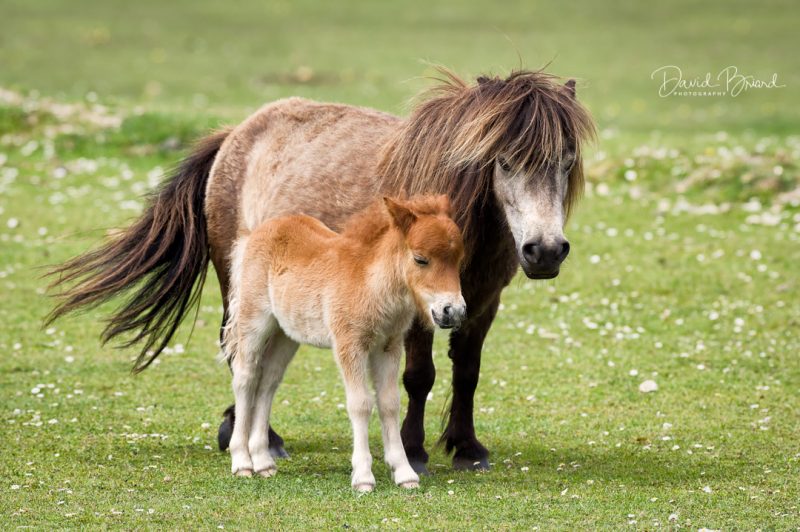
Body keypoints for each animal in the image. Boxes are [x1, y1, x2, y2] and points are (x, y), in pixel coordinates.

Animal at [48, 69, 592, 474]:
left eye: (567, 160)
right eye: (505, 160)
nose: (545, 251)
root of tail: (234, 136)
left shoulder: (480, 303)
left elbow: (468, 374)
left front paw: (466, 448)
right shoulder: (418, 310)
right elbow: (419, 376)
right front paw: (414, 451)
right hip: (238, 284)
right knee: (238, 354)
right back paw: (257, 439)